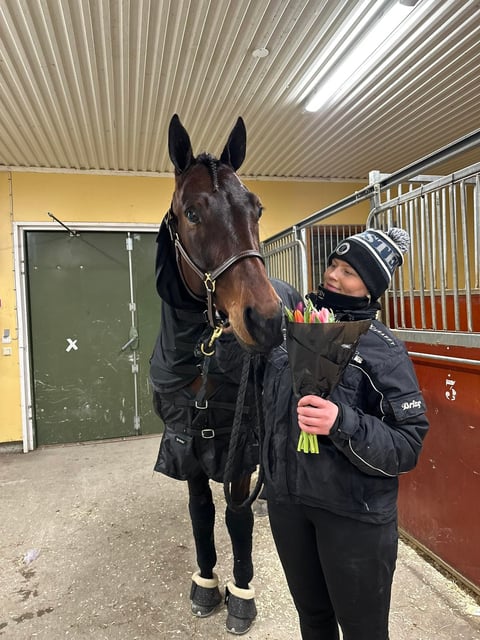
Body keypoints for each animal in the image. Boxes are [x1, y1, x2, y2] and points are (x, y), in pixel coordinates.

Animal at [150, 114, 297, 634]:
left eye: (257, 208)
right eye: (192, 213)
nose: (266, 320)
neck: (202, 353)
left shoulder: (238, 442)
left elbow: (236, 519)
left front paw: (241, 596)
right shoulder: (186, 441)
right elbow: (201, 513)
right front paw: (206, 584)